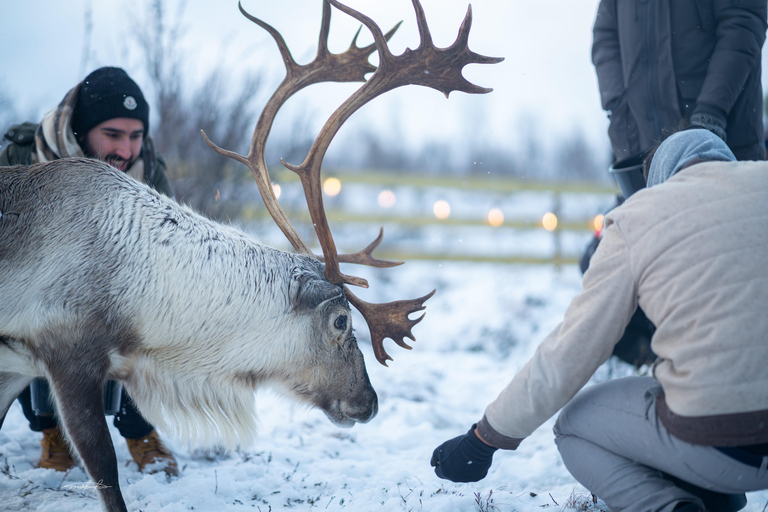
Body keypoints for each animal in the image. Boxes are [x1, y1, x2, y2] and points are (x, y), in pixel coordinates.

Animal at [0, 1, 502, 511]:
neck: (145, 293)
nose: (370, 402)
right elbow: (104, 469)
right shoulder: (69, 355)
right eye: (341, 321)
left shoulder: (14, 366)